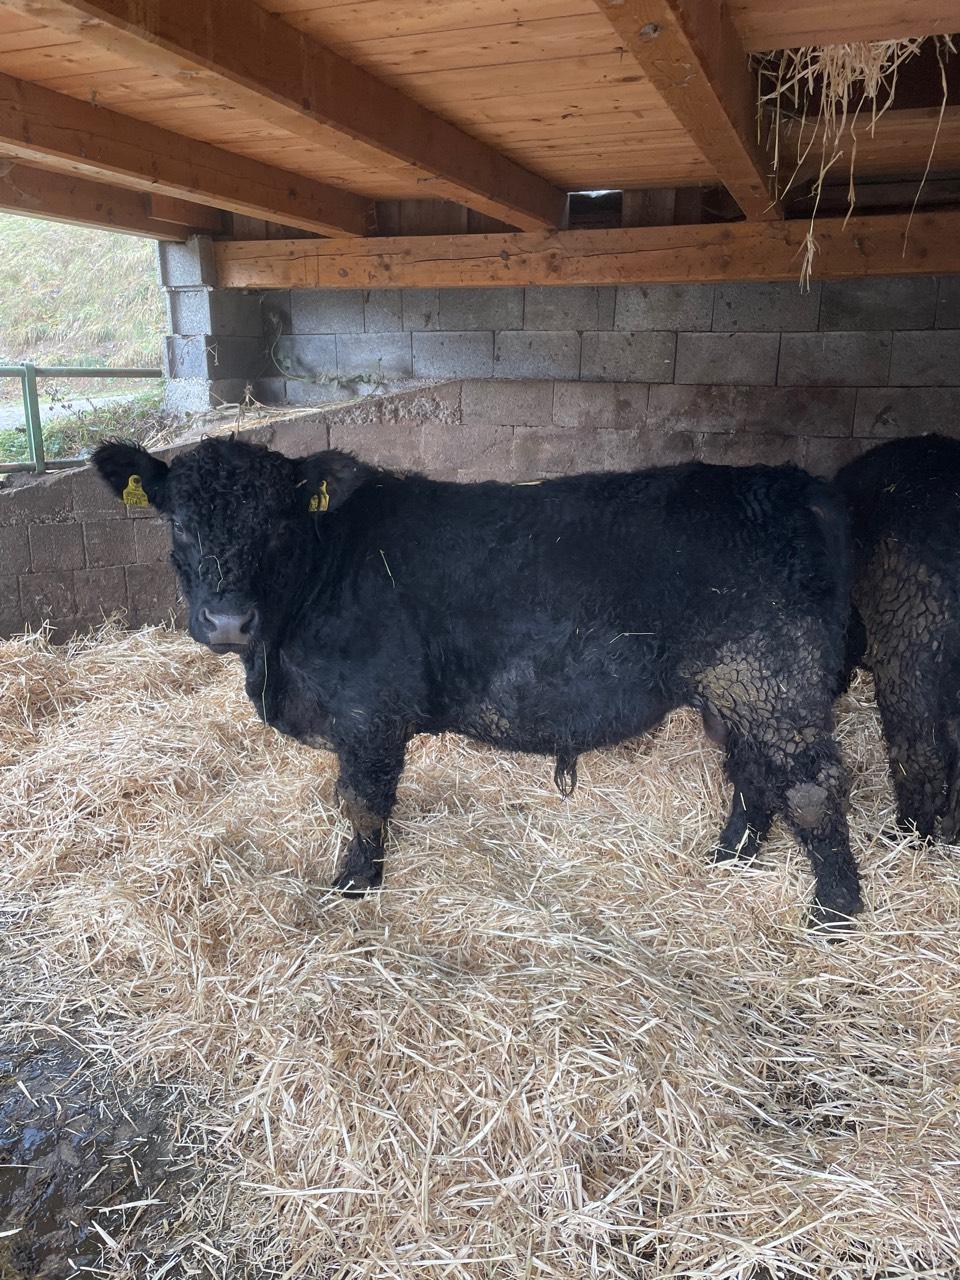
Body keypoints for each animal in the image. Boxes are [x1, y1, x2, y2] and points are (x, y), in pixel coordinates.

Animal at [94, 435, 870, 926]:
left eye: (278, 522)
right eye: (178, 522)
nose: (228, 621)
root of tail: (789, 484)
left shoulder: (370, 711)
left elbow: (362, 802)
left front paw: (353, 885)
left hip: (772, 678)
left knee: (810, 784)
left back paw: (834, 911)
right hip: (734, 689)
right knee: (751, 771)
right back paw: (730, 858)